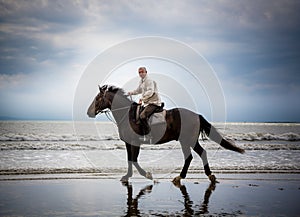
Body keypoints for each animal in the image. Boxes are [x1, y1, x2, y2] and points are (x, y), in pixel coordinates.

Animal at [86, 84, 244, 184]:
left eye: (98, 98)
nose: (89, 112)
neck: (127, 115)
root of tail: (196, 115)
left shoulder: (135, 142)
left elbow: (134, 160)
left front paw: (148, 175)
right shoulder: (128, 143)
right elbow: (130, 159)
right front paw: (127, 176)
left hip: (187, 140)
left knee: (191, 156)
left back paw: (182, 177)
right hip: (189, 140)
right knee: (199, 154)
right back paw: (204, 176)